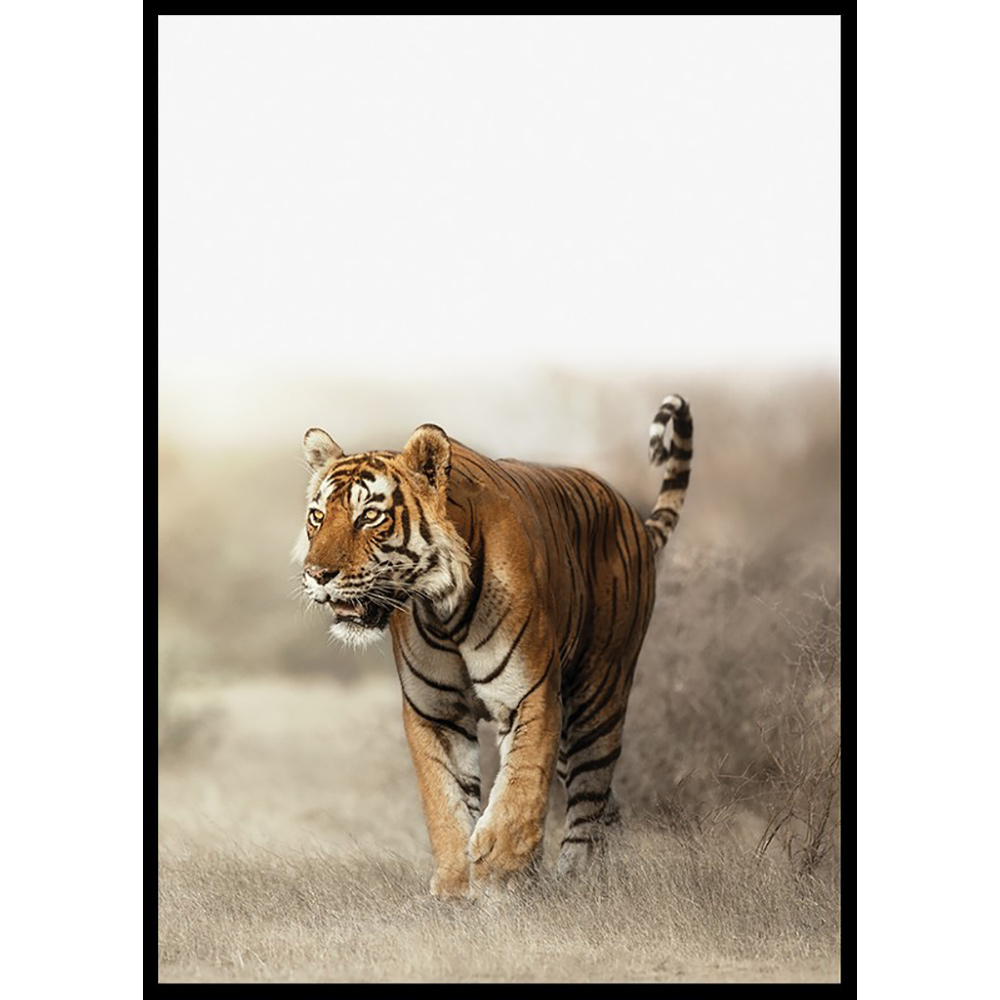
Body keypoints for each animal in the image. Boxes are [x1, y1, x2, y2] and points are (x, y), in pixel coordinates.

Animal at [294, 395, 693, 898]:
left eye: (370, 516)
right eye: (317, 516)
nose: (316, 574)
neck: (442, 608)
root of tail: (633, 519)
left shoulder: (530, 694)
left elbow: (520, 786)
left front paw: (498, 871)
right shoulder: (435, 710)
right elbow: (444, 800)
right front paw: (454, 886)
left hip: (597, 696)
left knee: (589, 795)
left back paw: (575, 878)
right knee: (605, 802)